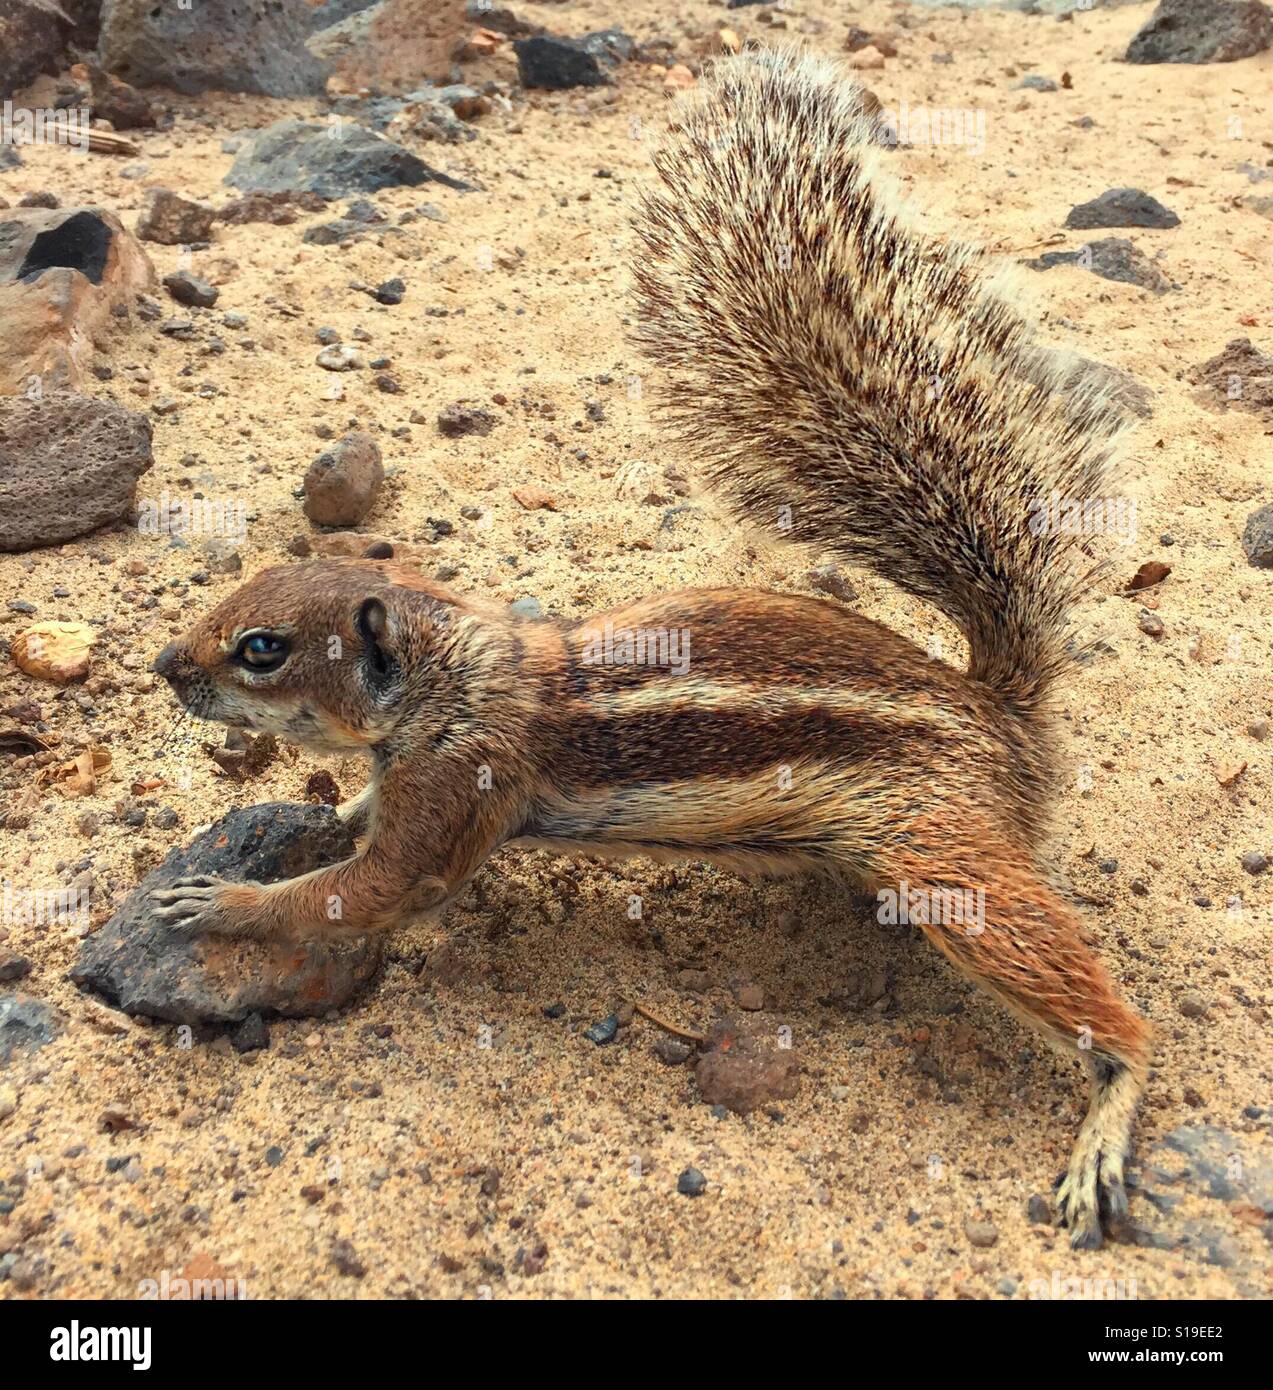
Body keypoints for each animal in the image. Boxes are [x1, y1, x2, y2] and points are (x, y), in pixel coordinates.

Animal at [151, 49, 1150, 1250]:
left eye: (260, 648)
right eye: (245, 589)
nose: (164, 668)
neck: (448, 673)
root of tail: (997, 705)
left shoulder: (453, 796)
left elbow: (367, 889)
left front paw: (215, 905)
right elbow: (360, 827)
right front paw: (326, 813)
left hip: (938, 855)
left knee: (1117, 1023)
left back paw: (1102, 1131)